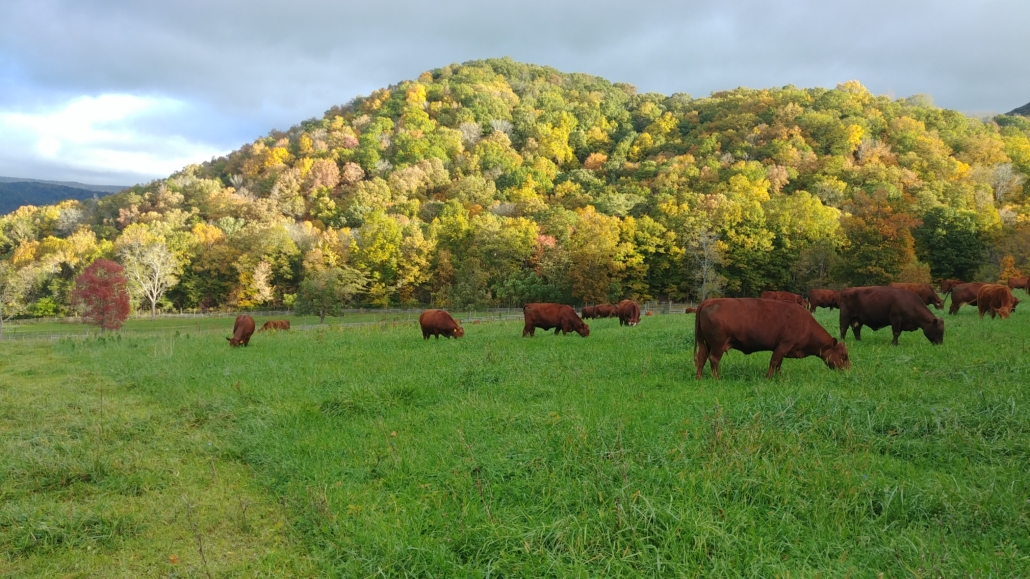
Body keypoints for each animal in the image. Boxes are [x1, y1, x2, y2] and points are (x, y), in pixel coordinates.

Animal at [692, 296, 852, 379]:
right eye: (843, 356)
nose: (848, 371)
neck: (806, 325)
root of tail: (708, 301)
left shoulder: (783, 348)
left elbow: (779, 363)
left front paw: (778, 376)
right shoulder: (784, 345)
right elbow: (774, 361)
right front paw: (768, 377)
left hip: (704, 343)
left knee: (701, 357)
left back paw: (699, 377)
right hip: (717, 345)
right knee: (714, 359)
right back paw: (717, 378)